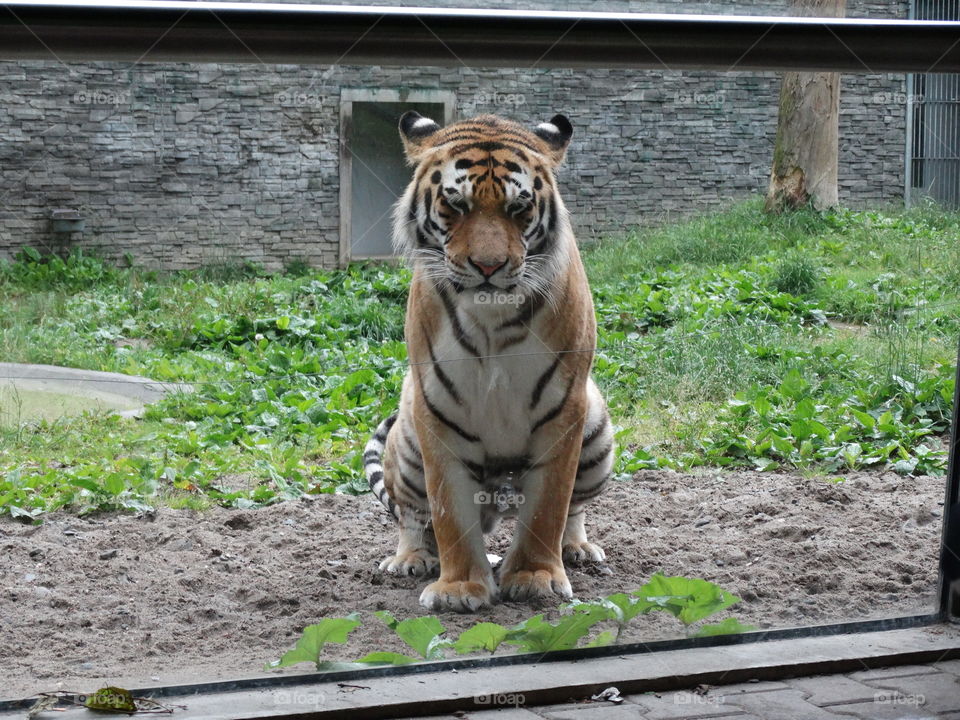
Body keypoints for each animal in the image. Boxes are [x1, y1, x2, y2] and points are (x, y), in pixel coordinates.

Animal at [364, 111, 613, 613]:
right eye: (455, 204)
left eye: (519, 208)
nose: (488, 267)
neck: (491, 316)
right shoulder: (436, 407)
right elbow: (448, 516)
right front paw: (459, 588)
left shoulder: (567, 408)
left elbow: (550, 508)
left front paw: (537, 578)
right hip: (406, 445)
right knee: (411, 515)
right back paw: (410, 558)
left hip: (597, 433)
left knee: (574, 509)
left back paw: (576, 548)